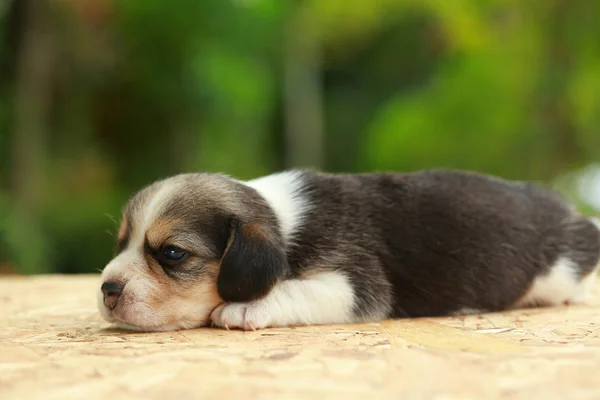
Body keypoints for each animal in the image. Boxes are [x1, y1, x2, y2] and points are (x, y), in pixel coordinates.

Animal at [98, 169, 600, 332]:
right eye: (121, 242)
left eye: (172, 254)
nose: (106, 290)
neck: (278, 218)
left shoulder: (356, 281)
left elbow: (294, 289)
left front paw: (246, 308)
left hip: (556, 271)